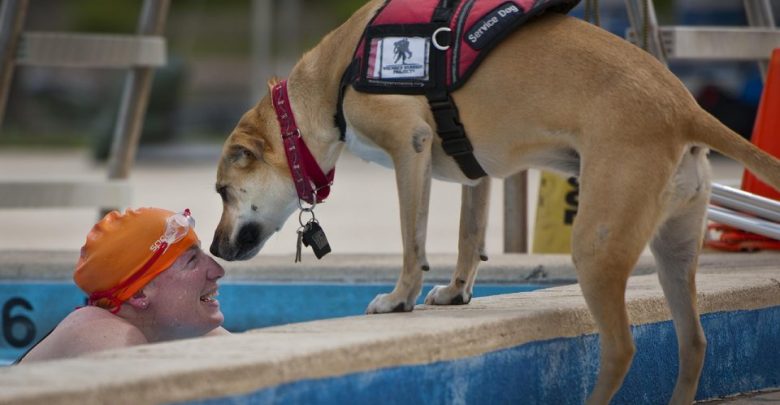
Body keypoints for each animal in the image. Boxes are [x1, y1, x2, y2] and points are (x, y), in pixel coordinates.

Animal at [210, 2, 780, 400]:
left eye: (221, 191)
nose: (213, 249)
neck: (335, 76)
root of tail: (685, 107)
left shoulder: (411, 147)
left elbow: (412, 241)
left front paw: (399, 298)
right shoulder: (474, 170)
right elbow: (469, 236)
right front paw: (457, 292)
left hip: (597, 246)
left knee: (622, 347)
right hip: (674, 250)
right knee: (694, 344)